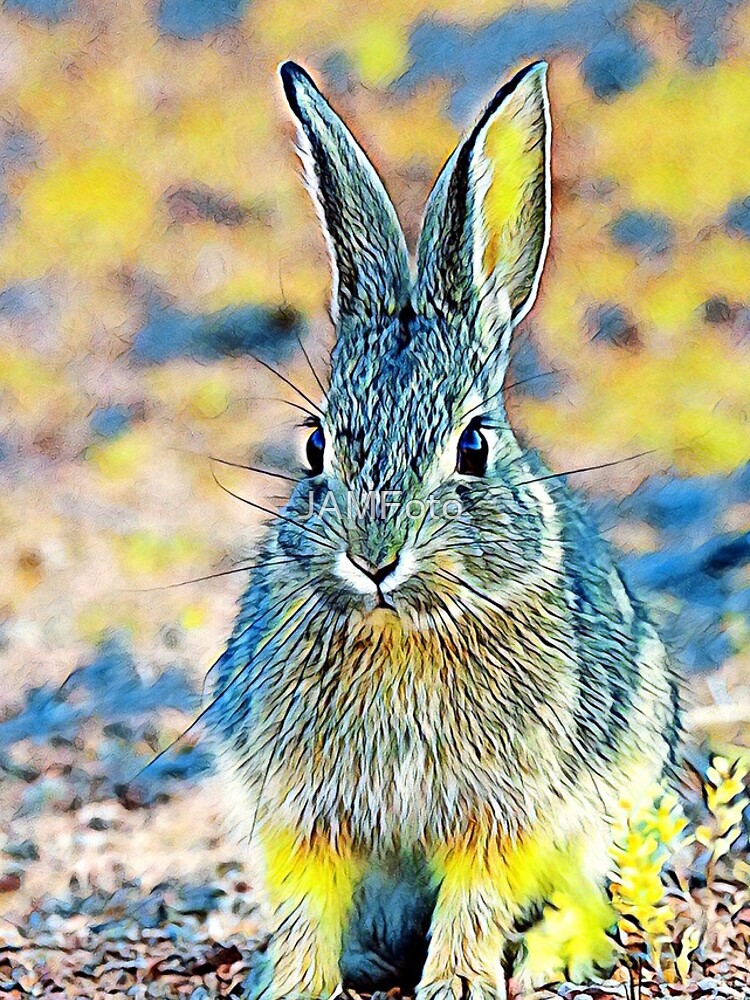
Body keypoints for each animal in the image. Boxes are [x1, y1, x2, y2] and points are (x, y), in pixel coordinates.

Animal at [209, 59, 682, 1000]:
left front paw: (458, 982)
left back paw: (552, 954)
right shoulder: (298, 804)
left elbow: (477, 892)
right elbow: (306, 900)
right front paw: (295, 981)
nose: (375, 560)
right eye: (315, 444)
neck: (404, 630)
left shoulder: (505, 805)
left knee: (590, 894)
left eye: (473, 446)